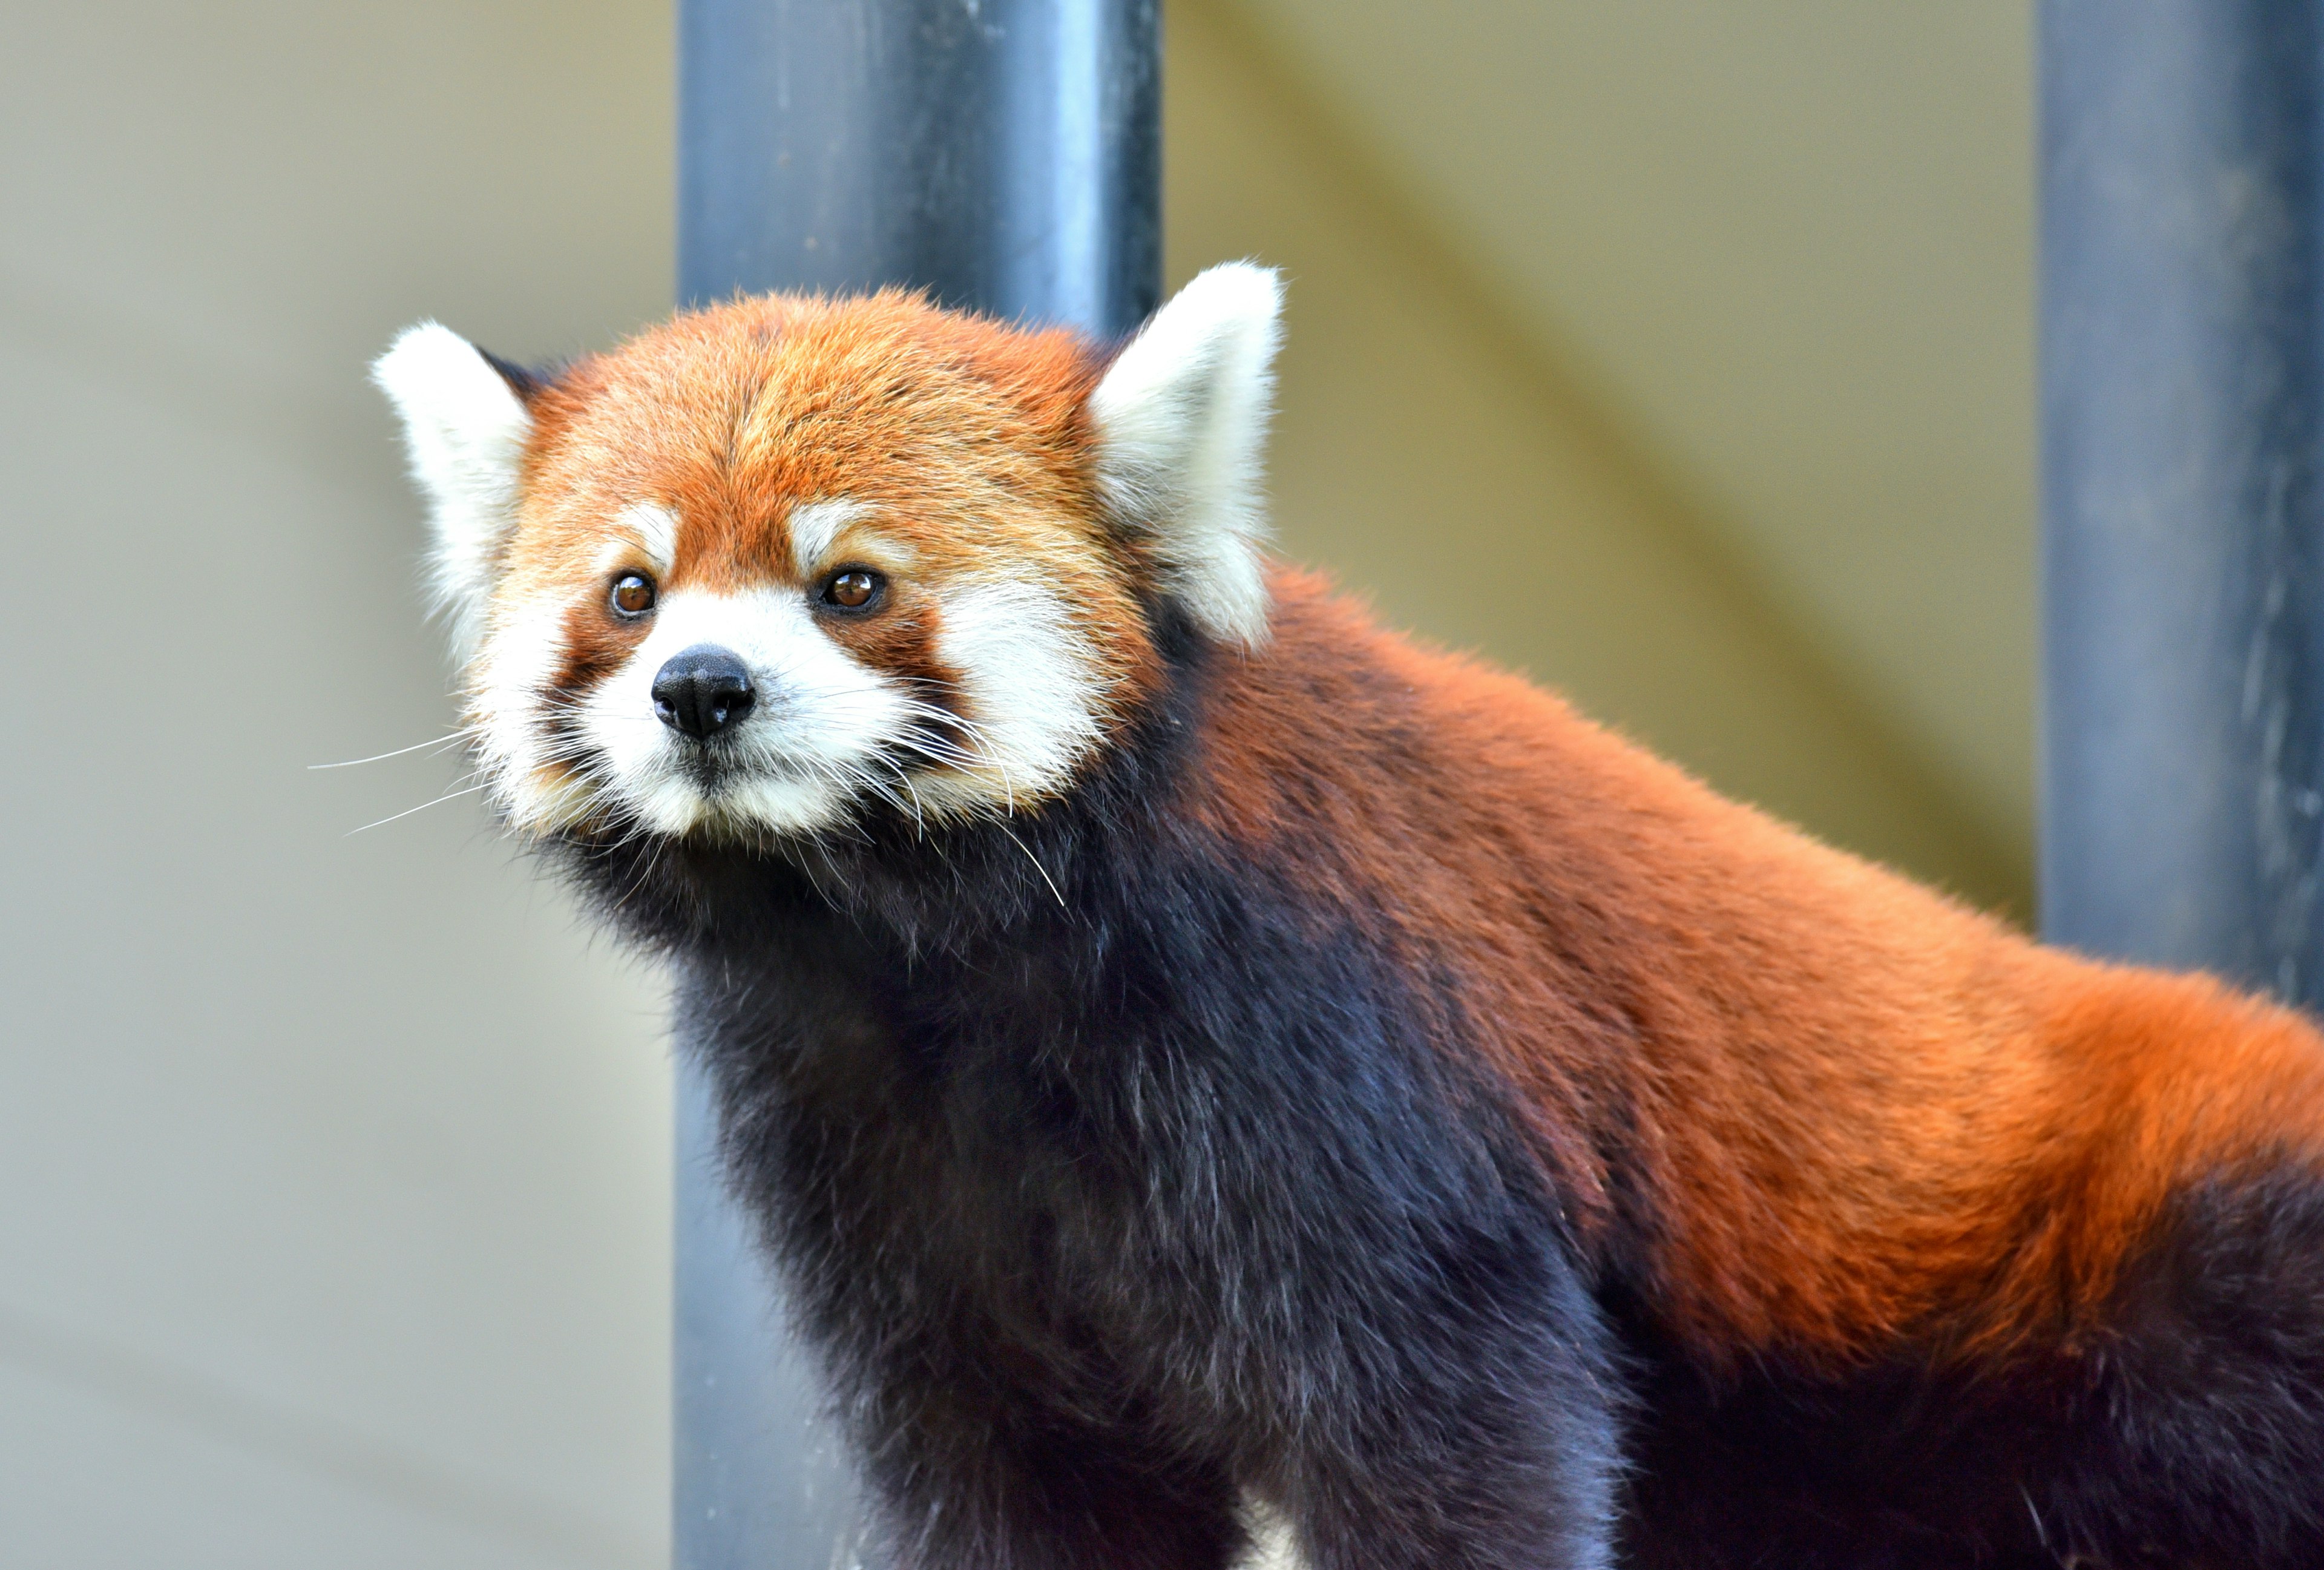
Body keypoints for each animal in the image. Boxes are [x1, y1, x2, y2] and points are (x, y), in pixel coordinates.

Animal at [372, 263, 2324, 1560]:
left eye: (849, 584)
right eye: (631, 591)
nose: (701, 691)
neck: (942, 973)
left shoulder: (1340, 1046)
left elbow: (1448, 1436)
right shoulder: (865, 1148)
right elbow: (1020, 1468)